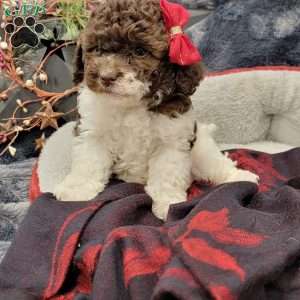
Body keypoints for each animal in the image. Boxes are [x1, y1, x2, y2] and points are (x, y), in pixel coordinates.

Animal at [53, 0, 258, 220]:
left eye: (140, 51)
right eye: (98, 49)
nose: (106, 77)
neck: (131, 105)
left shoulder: (172, 140)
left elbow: (167, 174)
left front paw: (168, 203)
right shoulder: (92, 133)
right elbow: (88, 163)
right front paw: (76, 190)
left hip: (202, 149)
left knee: (216, 164)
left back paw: (240, 177)